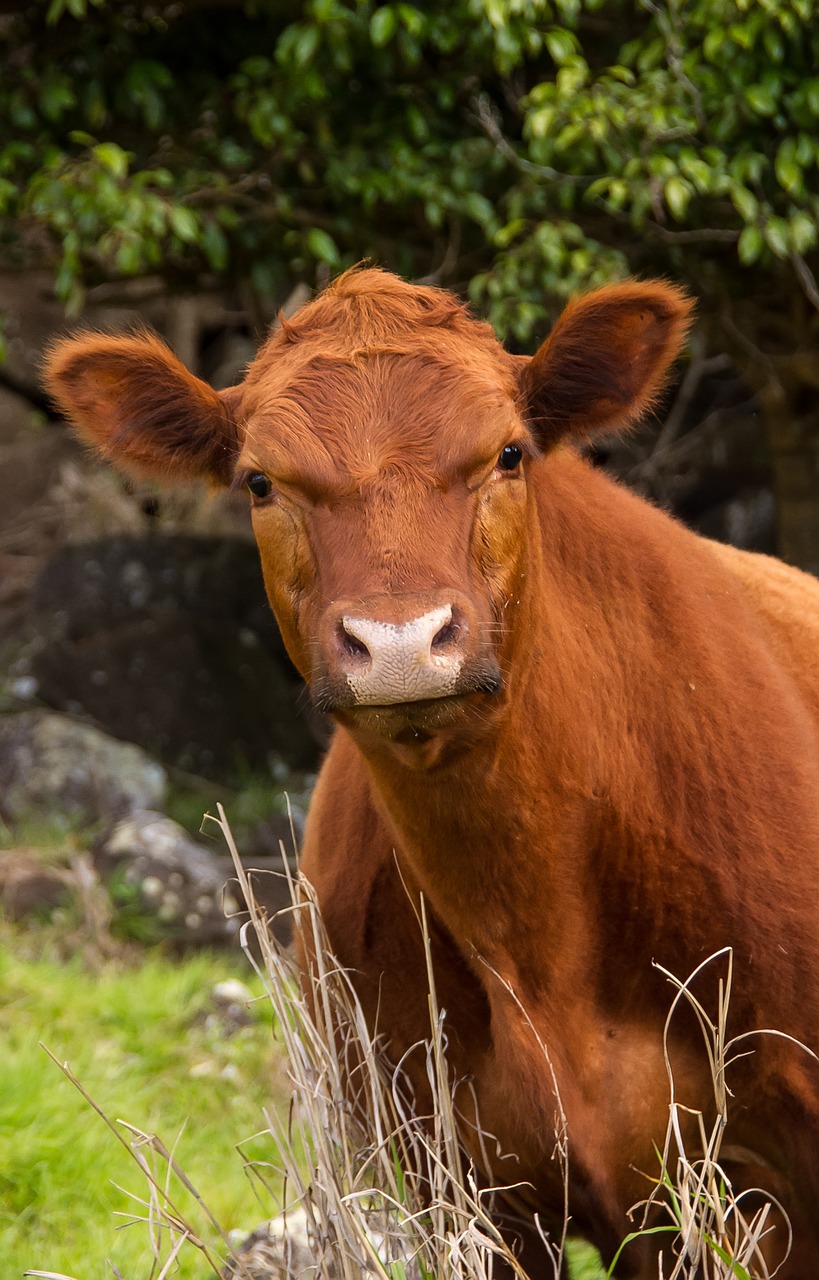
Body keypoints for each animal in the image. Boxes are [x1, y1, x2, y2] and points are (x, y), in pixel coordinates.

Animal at [41, 267, 819, 1269]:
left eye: (508, 453)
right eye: (261, 480)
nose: (401, 642)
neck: (536, 928)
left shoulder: (756, 1189)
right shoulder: (453, 1188)